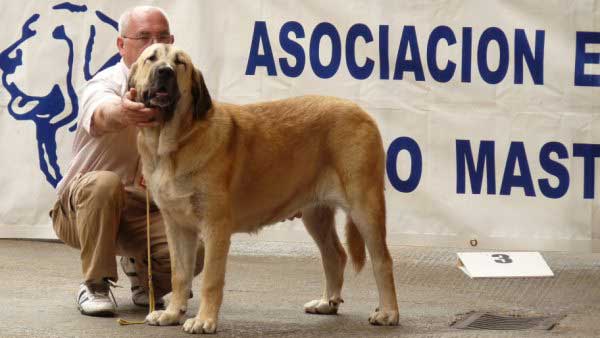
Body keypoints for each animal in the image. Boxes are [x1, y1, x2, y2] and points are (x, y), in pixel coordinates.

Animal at [131, 43, 398, 334]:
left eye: (180, 63)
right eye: (151, 58)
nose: (165, 71)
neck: (174, 141)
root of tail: (363, 113)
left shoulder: (215, 227)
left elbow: (211, 280)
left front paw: (204, 320)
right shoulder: (178, 227)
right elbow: (180, 274)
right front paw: (171, 313)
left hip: (365, 206)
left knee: (382, 260)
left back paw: (388, 313)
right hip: (316, 214)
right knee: (334, 255)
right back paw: (327, 303)